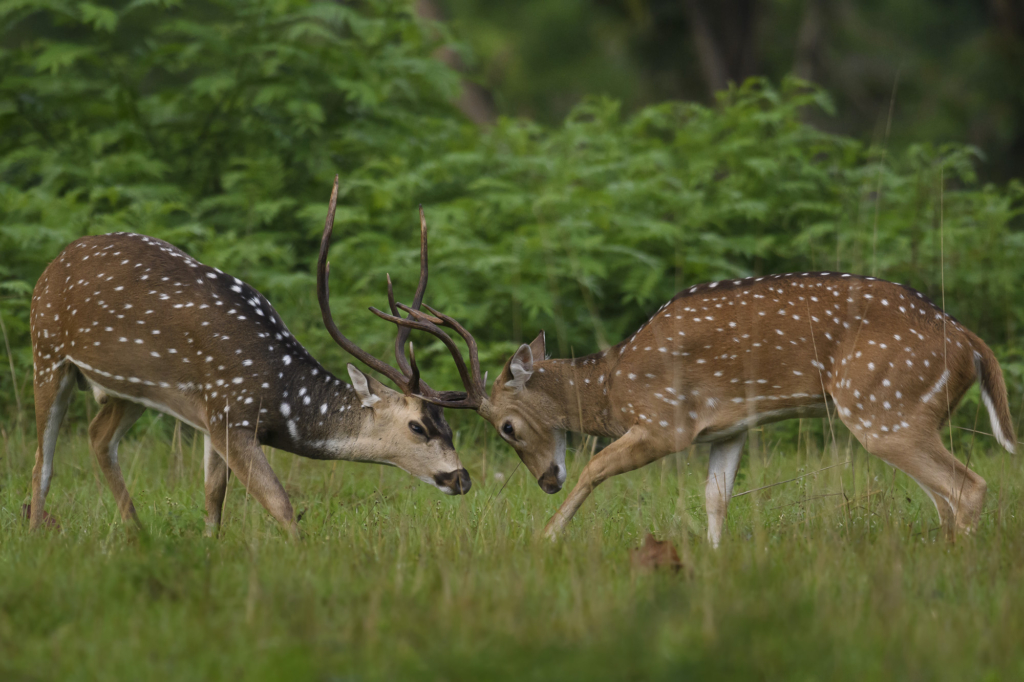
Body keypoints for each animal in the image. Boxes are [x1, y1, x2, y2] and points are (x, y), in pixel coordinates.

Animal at [27, 176, 475, 536]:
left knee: (98, 436)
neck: (280, 394)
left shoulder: (212, 419)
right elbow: (281, 505)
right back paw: (36, 536)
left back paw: (138, 535)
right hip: (47, 352)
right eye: (418, 426)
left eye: (448, 424)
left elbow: (213, 499)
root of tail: (52, 264)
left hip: (132, 389)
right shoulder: (231, 414)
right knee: (42, 462)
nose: (462, 478)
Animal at [385, 270, 1015, 540]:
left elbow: (596, 465)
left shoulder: (668, 422)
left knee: (969, 487)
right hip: (903, 414)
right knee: (943, 498)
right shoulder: (726, 429)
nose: (545, 481)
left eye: (508, 428)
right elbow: (715, 498)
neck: (613, 386)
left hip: (883, 406)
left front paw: (546, 538)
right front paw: (713, 565)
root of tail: (970, 342)